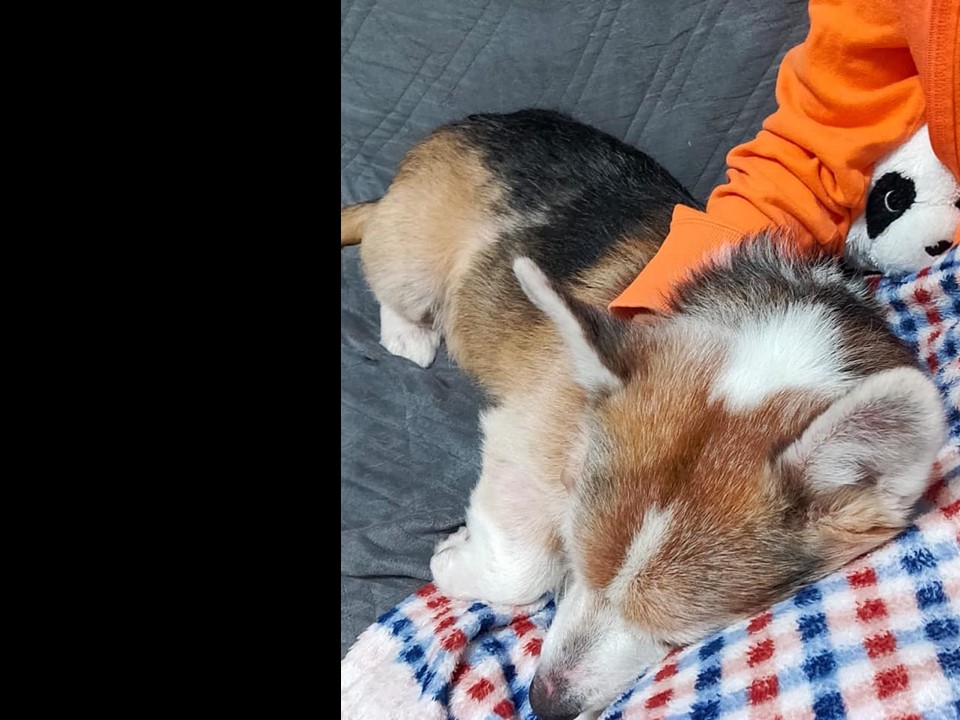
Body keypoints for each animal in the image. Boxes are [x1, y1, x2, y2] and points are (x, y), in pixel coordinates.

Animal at [341, 110, 945, 720]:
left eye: (678, 633)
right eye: (580, 559)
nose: (546, 702)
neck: (766, 353)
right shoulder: (525, 437)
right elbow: (522, 568)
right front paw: (452, 561)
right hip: (412, 263)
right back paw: (408, 333)